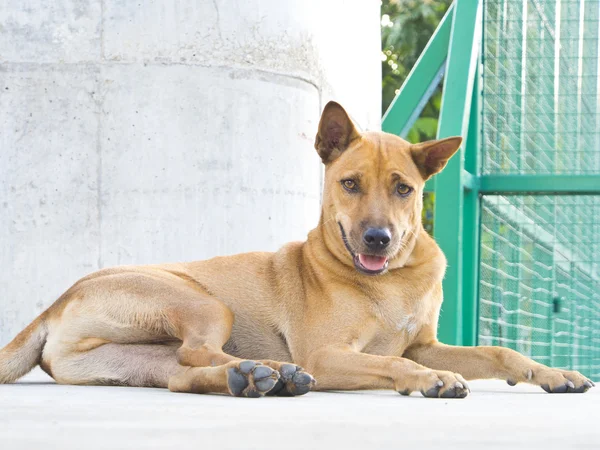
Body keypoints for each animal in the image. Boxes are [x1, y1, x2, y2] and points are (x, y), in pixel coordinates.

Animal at [0, 103, 592, 398]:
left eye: (403, 189)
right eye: (350, 184)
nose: (377, 239)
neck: (391, 280)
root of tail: (57, 301)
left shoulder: (424, 343)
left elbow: (497, 353)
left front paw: (550, 372)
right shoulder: (328, 354)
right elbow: (394, 363)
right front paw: (428, 380)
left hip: (140, 358)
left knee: (183, 373)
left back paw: (252, 379)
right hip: (204, 301)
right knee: (199, 353)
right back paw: (272, 371)